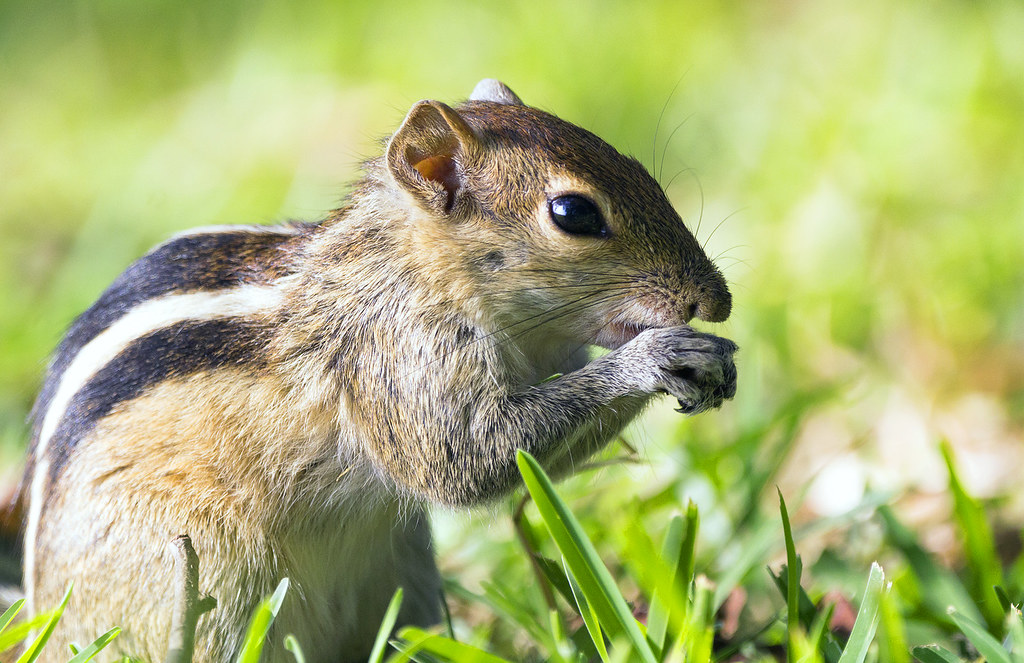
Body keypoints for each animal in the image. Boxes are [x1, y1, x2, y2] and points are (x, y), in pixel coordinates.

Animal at [20, 79, 737, 662]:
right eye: (574, 213)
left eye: (638, 168)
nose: (716, 302)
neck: (409, 269)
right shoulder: (396, 357)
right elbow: (464, 460)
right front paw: (659, 357)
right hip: (208, 580)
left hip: (404, 574)